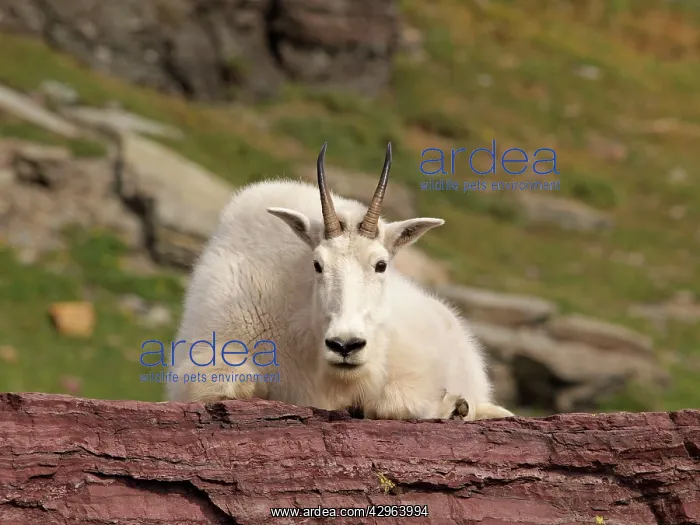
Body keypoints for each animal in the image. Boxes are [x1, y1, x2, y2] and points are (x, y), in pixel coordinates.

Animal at [166, 143, 514, 421]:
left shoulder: (414, 372)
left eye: (381, 265)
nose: (345, 345)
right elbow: (232, 384)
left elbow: (395, 403)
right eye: (317, 264)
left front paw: (455, 406)